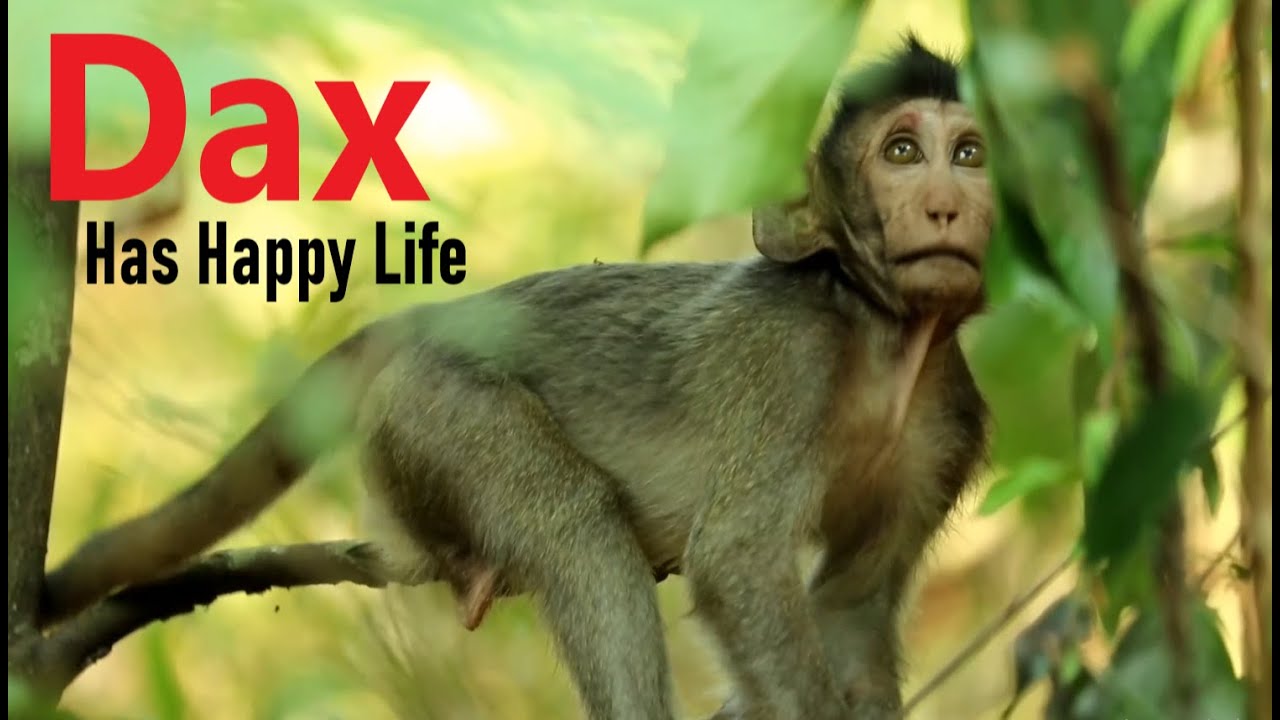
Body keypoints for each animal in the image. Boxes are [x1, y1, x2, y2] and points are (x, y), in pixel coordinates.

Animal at [42, 35, 992, 720]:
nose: (947, 204)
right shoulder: (788, 360)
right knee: (578, 528)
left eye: (968, 154)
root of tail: (443, 317)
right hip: (431, 412)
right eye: (901, 151)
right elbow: (737, 562)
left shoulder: (948, 419)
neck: (881, 335)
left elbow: (854, 609)